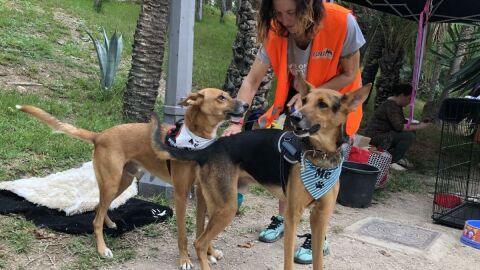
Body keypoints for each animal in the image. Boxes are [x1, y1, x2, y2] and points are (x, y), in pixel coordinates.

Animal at [15, 87, 248, 268]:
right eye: (221, 97)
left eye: (229, 94)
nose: (246, 105)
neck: (197, 144)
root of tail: (99, 135)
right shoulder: (181, 194)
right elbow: (183, 233)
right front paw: (185, 260)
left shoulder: (201, 193)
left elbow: (202, 228)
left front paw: (210, 253)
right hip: (111, 182)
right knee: (96, 217)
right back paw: (102, 248)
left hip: (122, 181)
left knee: (100, 206)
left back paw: (110, 224)